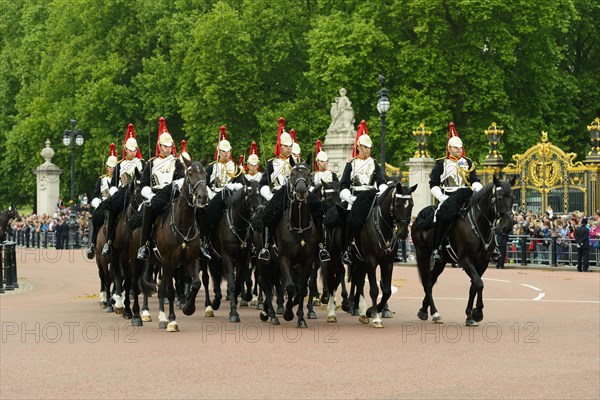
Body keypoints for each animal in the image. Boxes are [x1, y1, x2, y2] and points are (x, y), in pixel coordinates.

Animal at [346, 183, 418, 326]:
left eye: (411, 204)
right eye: (397, 204)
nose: (403, 233)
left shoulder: (387, 263)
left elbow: (386, 290)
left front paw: (373, 310)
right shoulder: (371, 261)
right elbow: (374, 289)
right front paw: (375, 316)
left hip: (362, 261)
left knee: (359, 279)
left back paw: (360, 309)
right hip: (357, 258)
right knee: (356, 279)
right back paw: (355, 306)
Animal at [412, 177, 516, 326]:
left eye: (513, 198)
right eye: (500, 198)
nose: (508, 226)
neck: (478, 224)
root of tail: (418, 217)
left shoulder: (482, 262)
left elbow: (475, 285)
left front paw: (471, 315)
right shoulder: (465, 259)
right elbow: (479, 283)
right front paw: (477, 313)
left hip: (441, 261)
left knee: (431, 280)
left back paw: (424, 310)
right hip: (423, 254)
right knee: (426, 281)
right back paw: (435, 313)